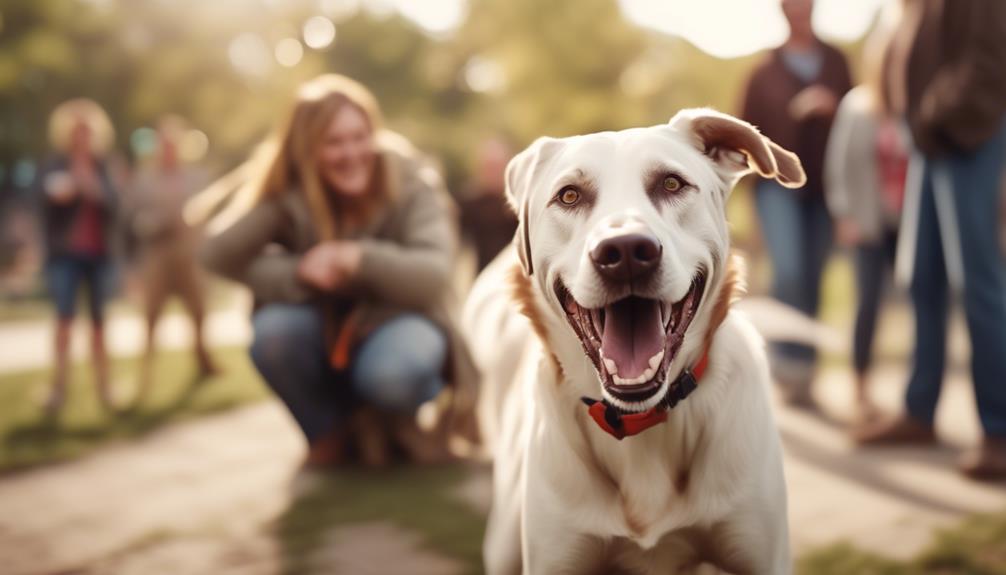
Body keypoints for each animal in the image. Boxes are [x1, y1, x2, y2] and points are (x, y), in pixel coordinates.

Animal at [460, 109, 804, 575]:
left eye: (672, 184)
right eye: (569, 196)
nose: (624, 251)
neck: (640, 422)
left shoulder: (763, 553)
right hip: (503, 541)